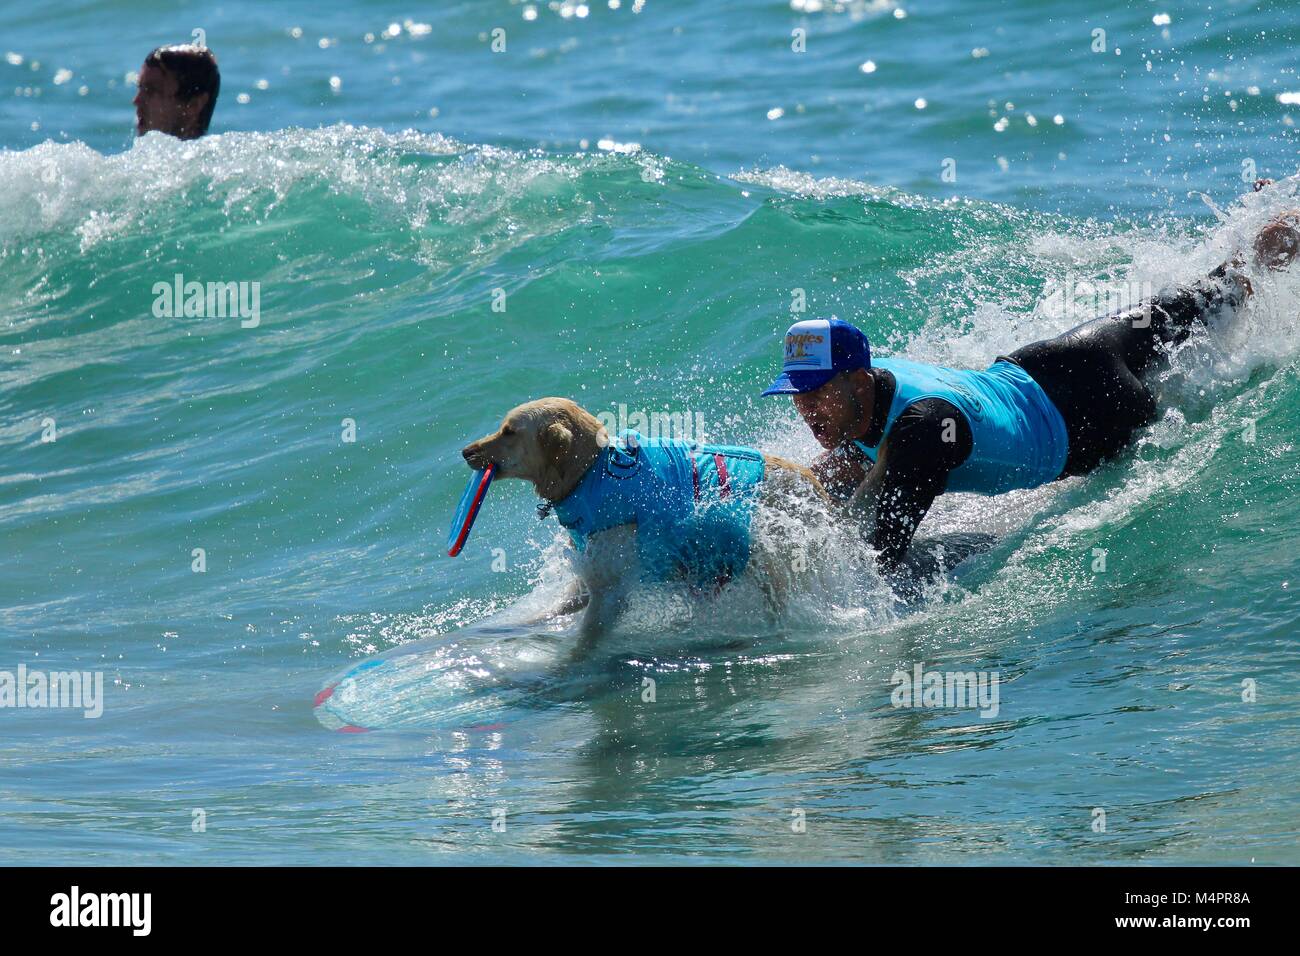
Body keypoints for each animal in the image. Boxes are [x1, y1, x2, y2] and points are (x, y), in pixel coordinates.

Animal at [465, 398, 832, 650]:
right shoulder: (590, 575)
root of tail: (817, 488)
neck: (589, 476)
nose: (466, 452)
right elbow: (549, 609)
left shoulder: (612, 590)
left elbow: (586, 641)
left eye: (509, 431)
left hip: (774, 560)